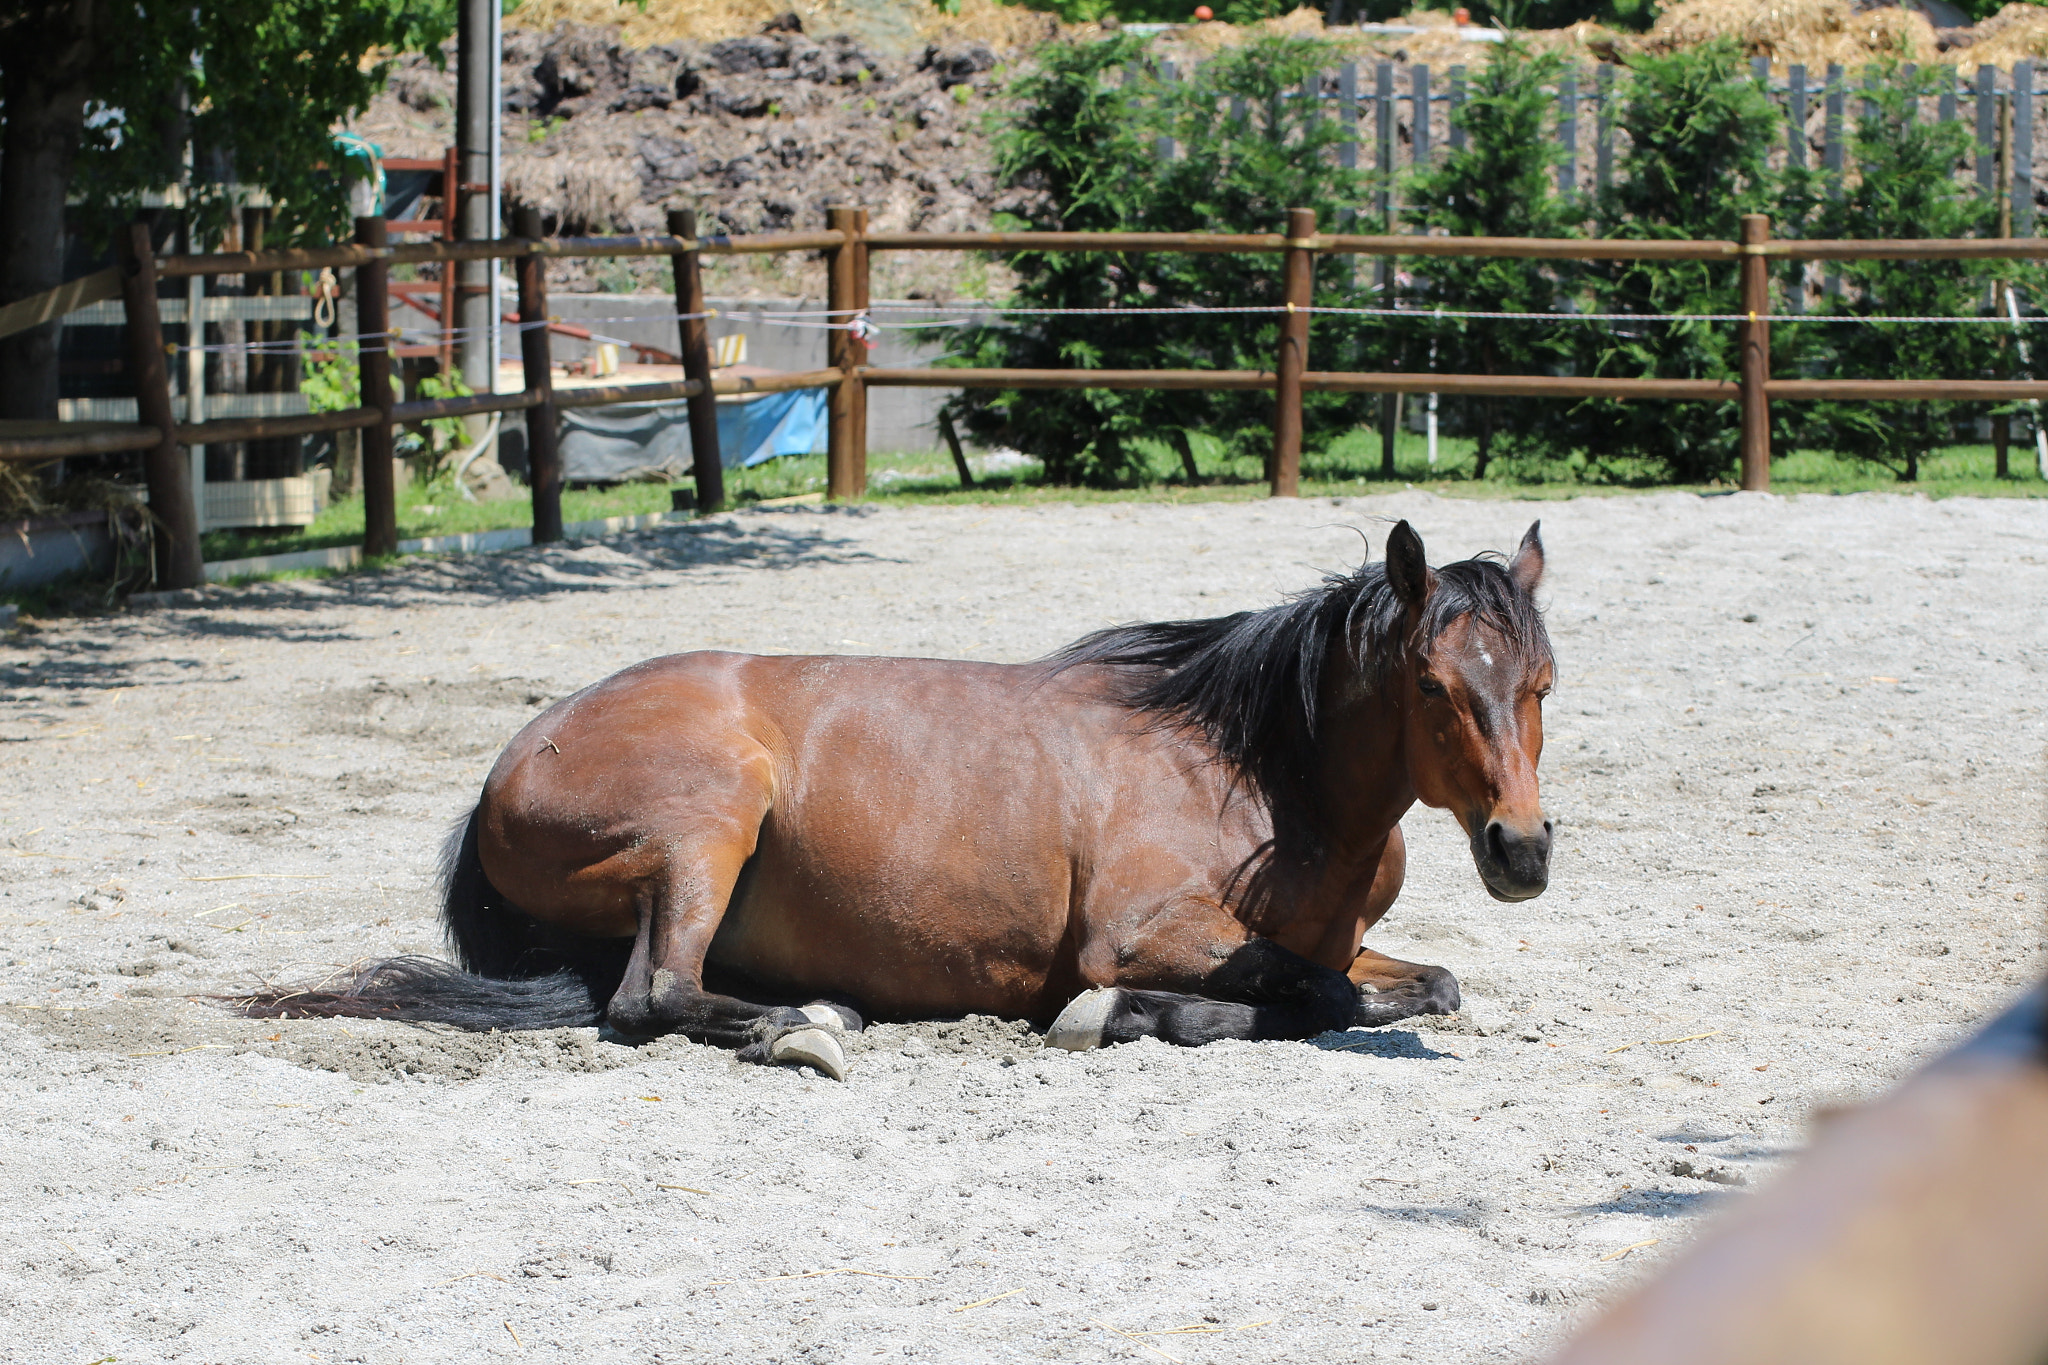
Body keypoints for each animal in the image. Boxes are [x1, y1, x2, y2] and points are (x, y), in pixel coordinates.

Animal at [245, 520, 1554, 1080]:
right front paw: (1113, 1017)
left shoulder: (1337, 940)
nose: (1521, 852)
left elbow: (1413, 983)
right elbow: (1309, 995)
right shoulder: (1142, 932)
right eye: (1433, 686)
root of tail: (504, 768)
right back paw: (805, 1027)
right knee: (647, 996)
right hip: (706, 824)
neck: (1255, 777)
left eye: (1541, 680)